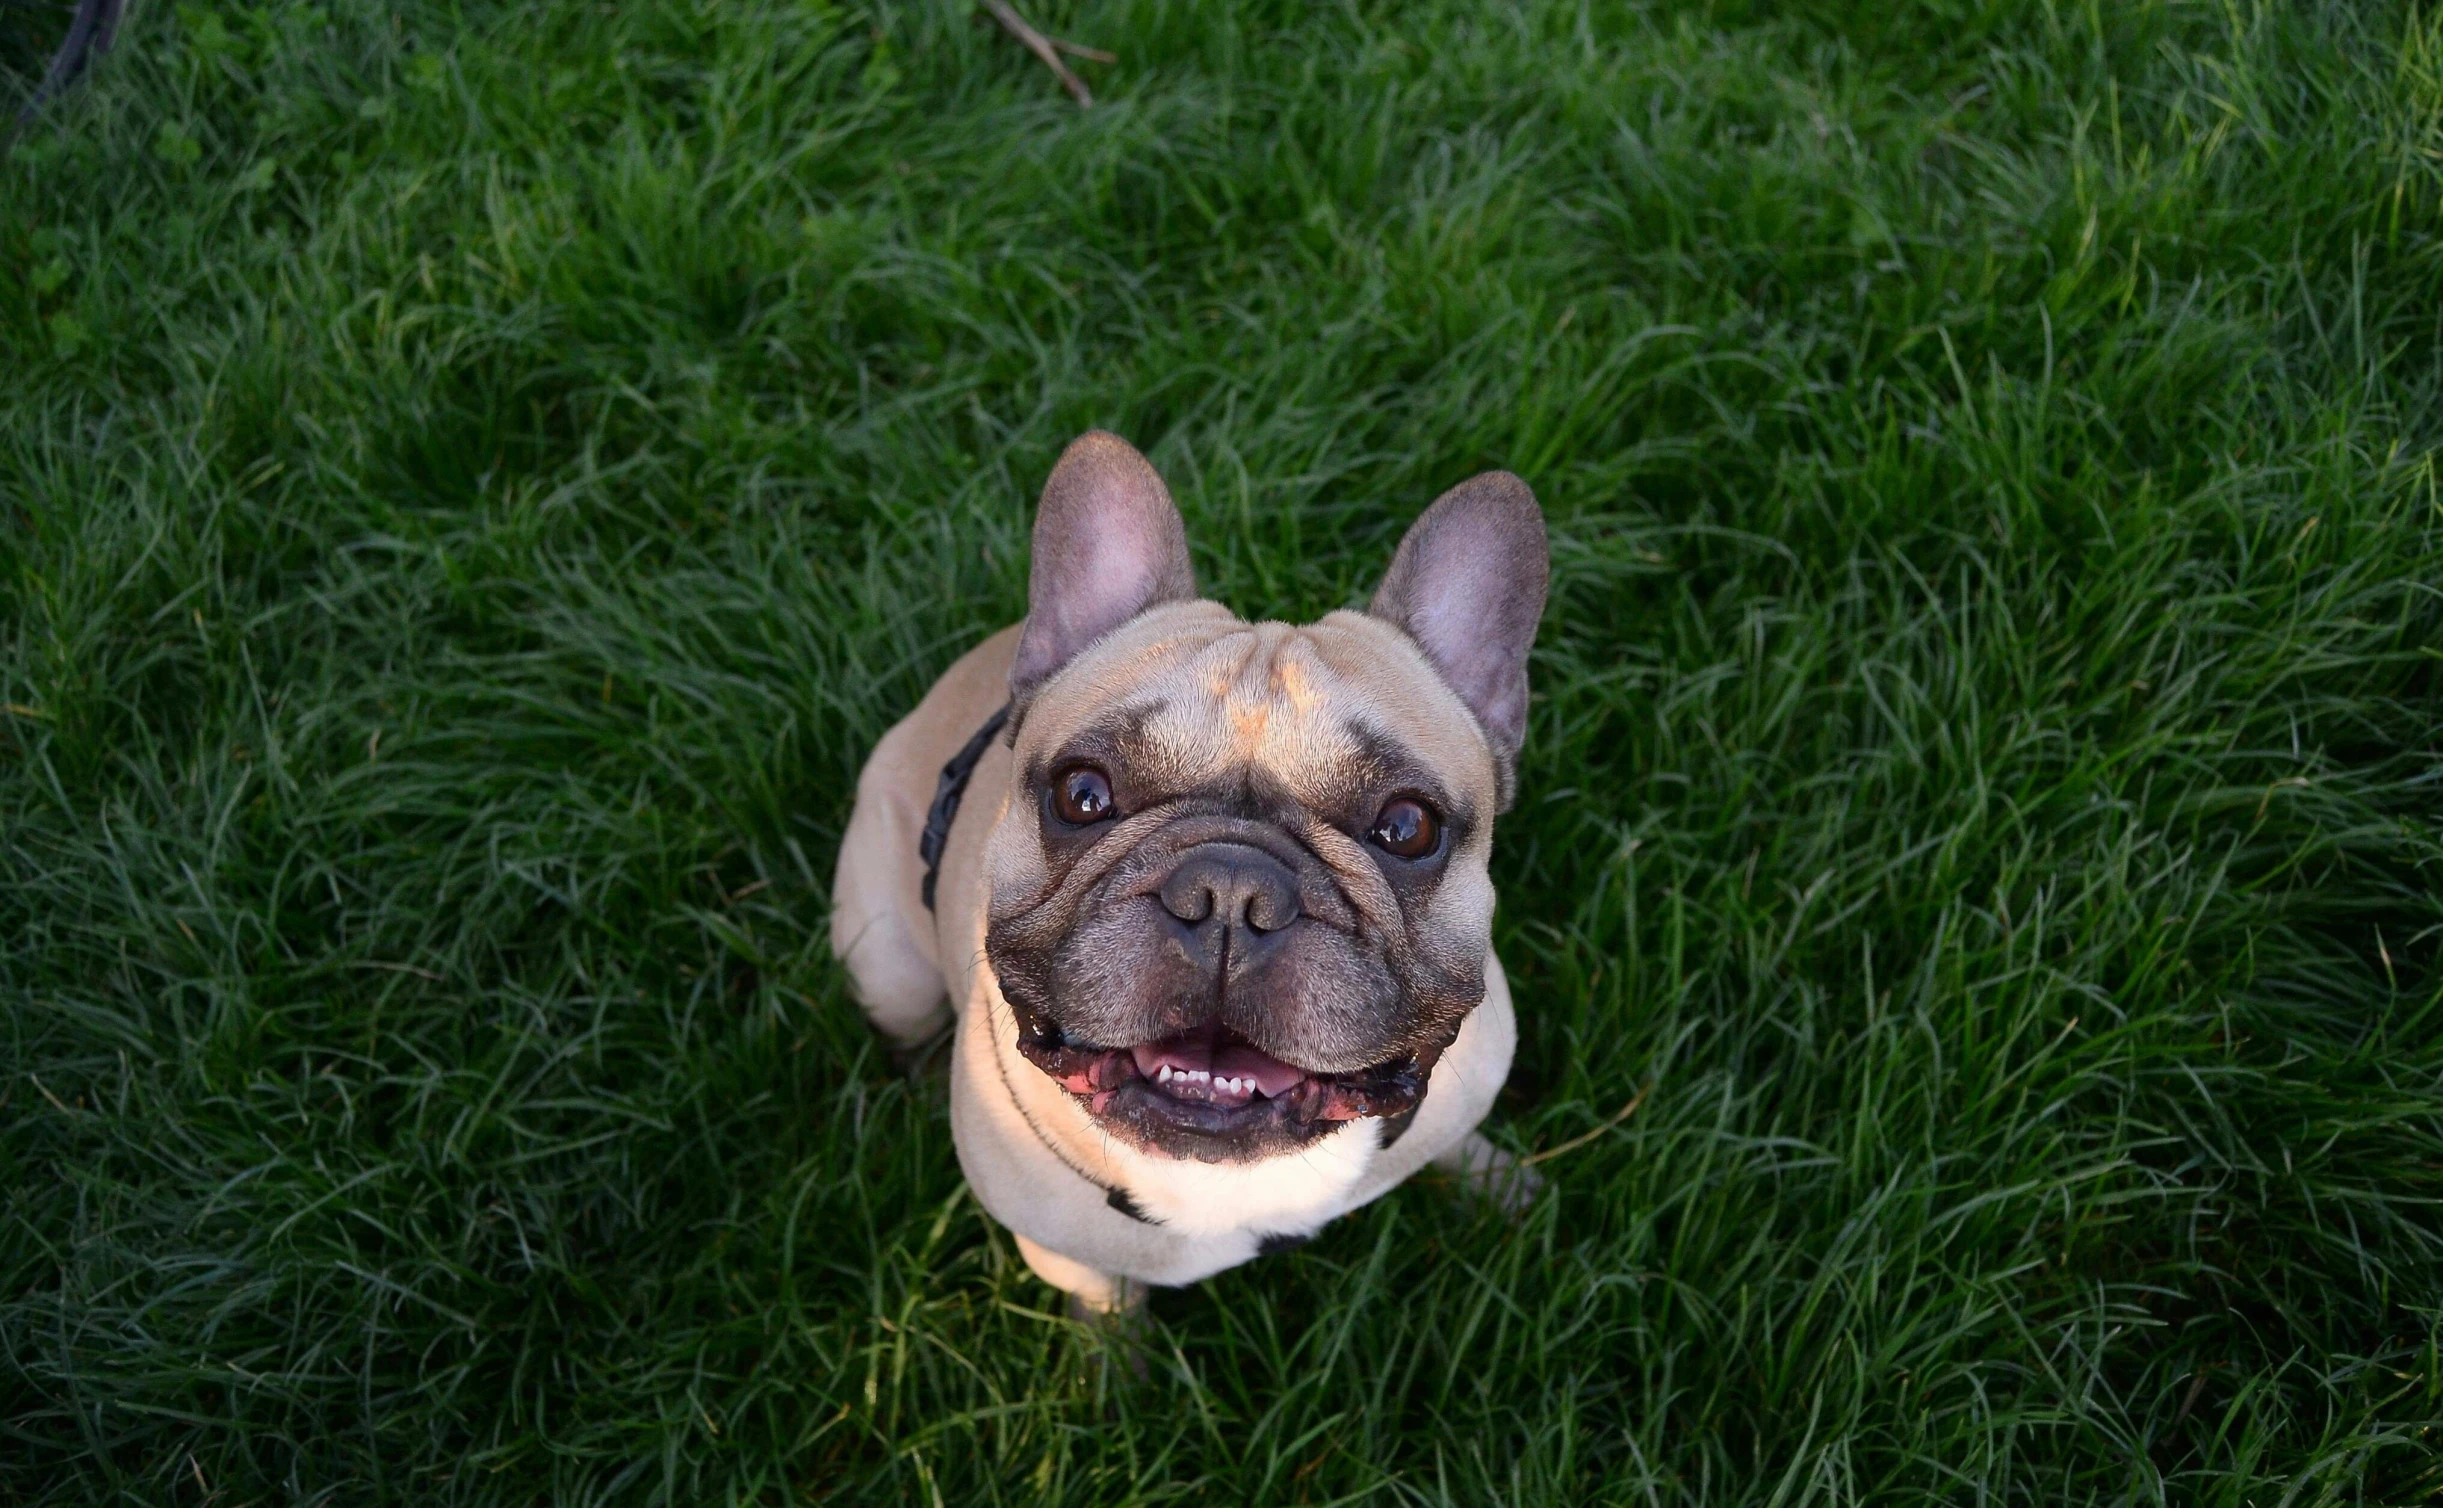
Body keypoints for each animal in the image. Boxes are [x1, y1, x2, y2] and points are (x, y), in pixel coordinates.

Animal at [830, 430, 1553, 1310]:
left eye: (1407, 827)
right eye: (1081, 794)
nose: (1231, 893)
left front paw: (1503, 1185)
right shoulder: (1071, 1263)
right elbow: (1108, 1322)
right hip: (886, 962)